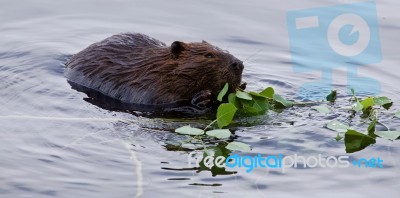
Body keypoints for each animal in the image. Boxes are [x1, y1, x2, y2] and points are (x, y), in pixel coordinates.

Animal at [65, 33, 245, 112]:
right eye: (208, 55)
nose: (239, 64)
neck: (157, 69)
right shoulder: (148, 87)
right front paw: (202, 97)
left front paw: (242, 86)